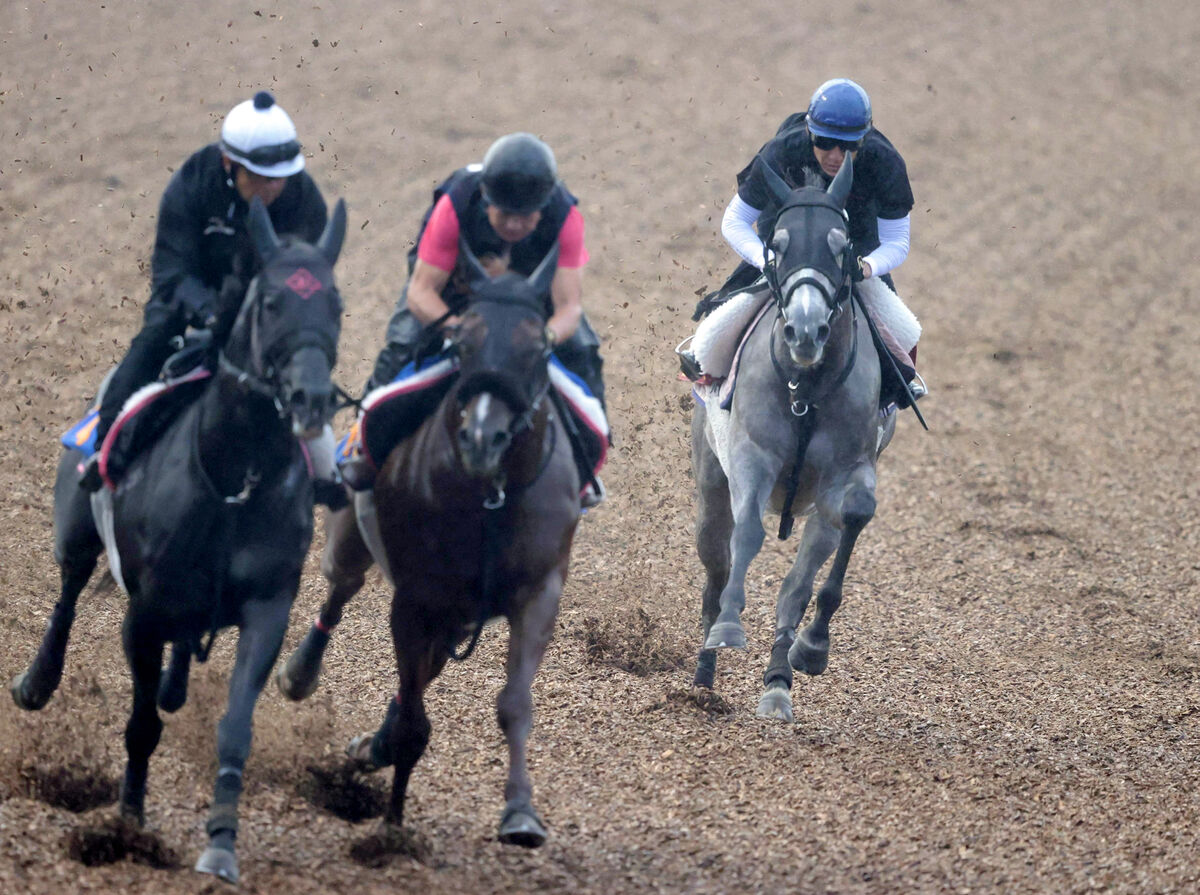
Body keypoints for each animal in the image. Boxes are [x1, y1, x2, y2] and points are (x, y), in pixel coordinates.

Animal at [11, 196, 348, 878]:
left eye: (336, 304)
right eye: (271, 302)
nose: (311, 397)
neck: (232, 477)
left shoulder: (268, 608)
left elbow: (235, 726)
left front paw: (221, 840)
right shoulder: (142, 614)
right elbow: (140, 726)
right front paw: (128, 825)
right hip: (77, 530)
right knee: (67, 594)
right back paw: (37, 682)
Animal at [282, 247, 580, 849]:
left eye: (539, 349)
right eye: (461, 342)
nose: (482, 438)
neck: (490, 499)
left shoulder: (538, 592)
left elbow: (514, 703)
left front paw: (520, 813)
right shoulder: (416, 601)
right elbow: (415, 721)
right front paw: (391, 828)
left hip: (459, 619)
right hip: (354, 539)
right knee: (339, 592)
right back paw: (301, 673)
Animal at [691, 153, 897, 719]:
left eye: (841, 245)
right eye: (777, 244)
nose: (805, 331)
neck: (806, 387)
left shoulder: (845, 474)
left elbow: (850, 523)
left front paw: (811, 650)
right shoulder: (750, 457)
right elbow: (747, 534)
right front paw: (729, 628)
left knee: (795, 586)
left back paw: (778, 682)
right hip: (710, 482)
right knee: (716, 566)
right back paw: (703, 671)